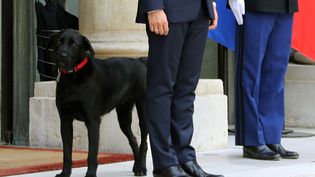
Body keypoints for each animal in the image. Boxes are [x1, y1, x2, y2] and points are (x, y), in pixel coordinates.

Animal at [48, 29, 148, 177]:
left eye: (73, 44)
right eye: (59, 42)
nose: (62, 55)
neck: (73, 77)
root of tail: (139, 61)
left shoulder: (93, 121)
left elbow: (92, 153)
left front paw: (90, 174)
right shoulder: (65, 121)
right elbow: (66, 153)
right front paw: (65, 173)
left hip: (144, 111)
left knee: (144, 142)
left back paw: (142, 168)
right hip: (123, 116)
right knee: (133, 139)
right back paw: (137, 166)